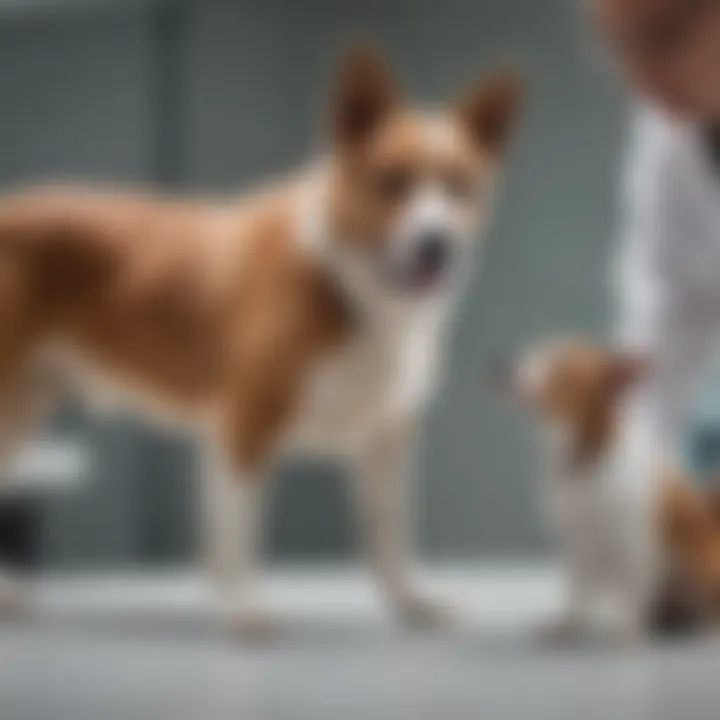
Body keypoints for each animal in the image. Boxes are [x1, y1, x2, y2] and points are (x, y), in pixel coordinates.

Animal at [0, 43, 524, 636]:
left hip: (22, 406)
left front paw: (411, 603)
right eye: (391, 181)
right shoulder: (246, 422)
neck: (344, 281)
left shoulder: (386, 440)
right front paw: (243, 608)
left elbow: (392, 537)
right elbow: (240, 529)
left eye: (462, 186)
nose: (437, 243)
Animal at [500, 340, 720, 644]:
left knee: (704, 608)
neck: (583, 460)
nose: (501, 366)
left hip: (700, 568)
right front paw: (567, 625)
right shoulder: (578, 545)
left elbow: (632, 596)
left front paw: (626, 636)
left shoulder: (633, 545)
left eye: (561, 368)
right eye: (533, 350)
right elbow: (576, 592)